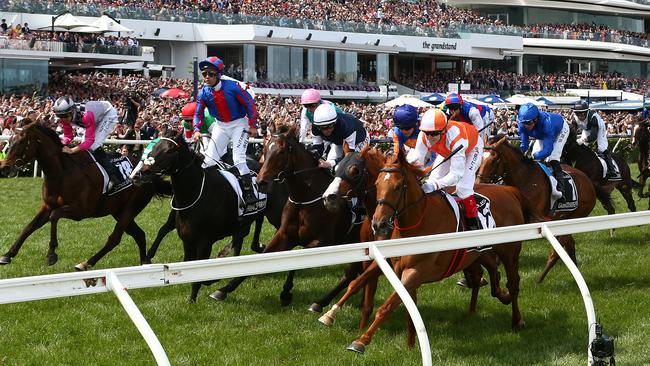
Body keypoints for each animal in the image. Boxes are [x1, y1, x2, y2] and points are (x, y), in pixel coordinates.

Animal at [0, 121, 170, 268]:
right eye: (9, 141)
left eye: (21, 142)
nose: (4, 168)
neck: (61, 173)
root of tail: (149, 174)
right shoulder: (47, 205)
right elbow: (30, 226)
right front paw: (8, 254)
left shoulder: (81, 210)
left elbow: (54, 216)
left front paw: (51, 255)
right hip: (118, 210)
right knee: (139, 234)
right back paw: (144, 262)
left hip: (131, 207)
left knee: (115, 238)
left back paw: (87, 263)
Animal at [136, 133, 284, 302]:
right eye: (153, 146)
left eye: (169, 150)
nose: (143, 172)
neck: (196, 192)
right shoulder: (187, 238)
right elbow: (184, 257)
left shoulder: (205, 242)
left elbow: (201, 274)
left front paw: (199, 294)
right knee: (242, 238)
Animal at [206, 126, 362, 308]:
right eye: (264, 150)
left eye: (281, 152)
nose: (261, 183)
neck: (305, 198)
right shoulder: (285, 234)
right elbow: (261, 257)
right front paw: (224, 289)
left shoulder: (323, 241)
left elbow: (296, 261)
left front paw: (286, 292)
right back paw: (322, 302)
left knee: (350, 275)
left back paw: (321, 303)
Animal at [340, 149, 536, 354]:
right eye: (377, 184)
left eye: (398, 186)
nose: (378, 224)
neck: (418, 222)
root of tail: (509, 191)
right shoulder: (400, 269)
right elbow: (403, 305)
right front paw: (410, 345)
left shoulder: (417, 271)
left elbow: (388, 306)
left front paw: (361, 341)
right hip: (479, 252)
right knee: (487, 273)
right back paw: (484, 305)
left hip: (510, 251)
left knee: (513, 283)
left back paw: (517, 320)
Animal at [474, 137, 596, 284]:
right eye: (480, 158)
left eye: (493, 160)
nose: (478, 183)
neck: (525, 179)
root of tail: (588, 181)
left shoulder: (531, 221)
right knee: (569, 244)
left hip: (576, 216)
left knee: (558, 249)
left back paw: (541, 278)